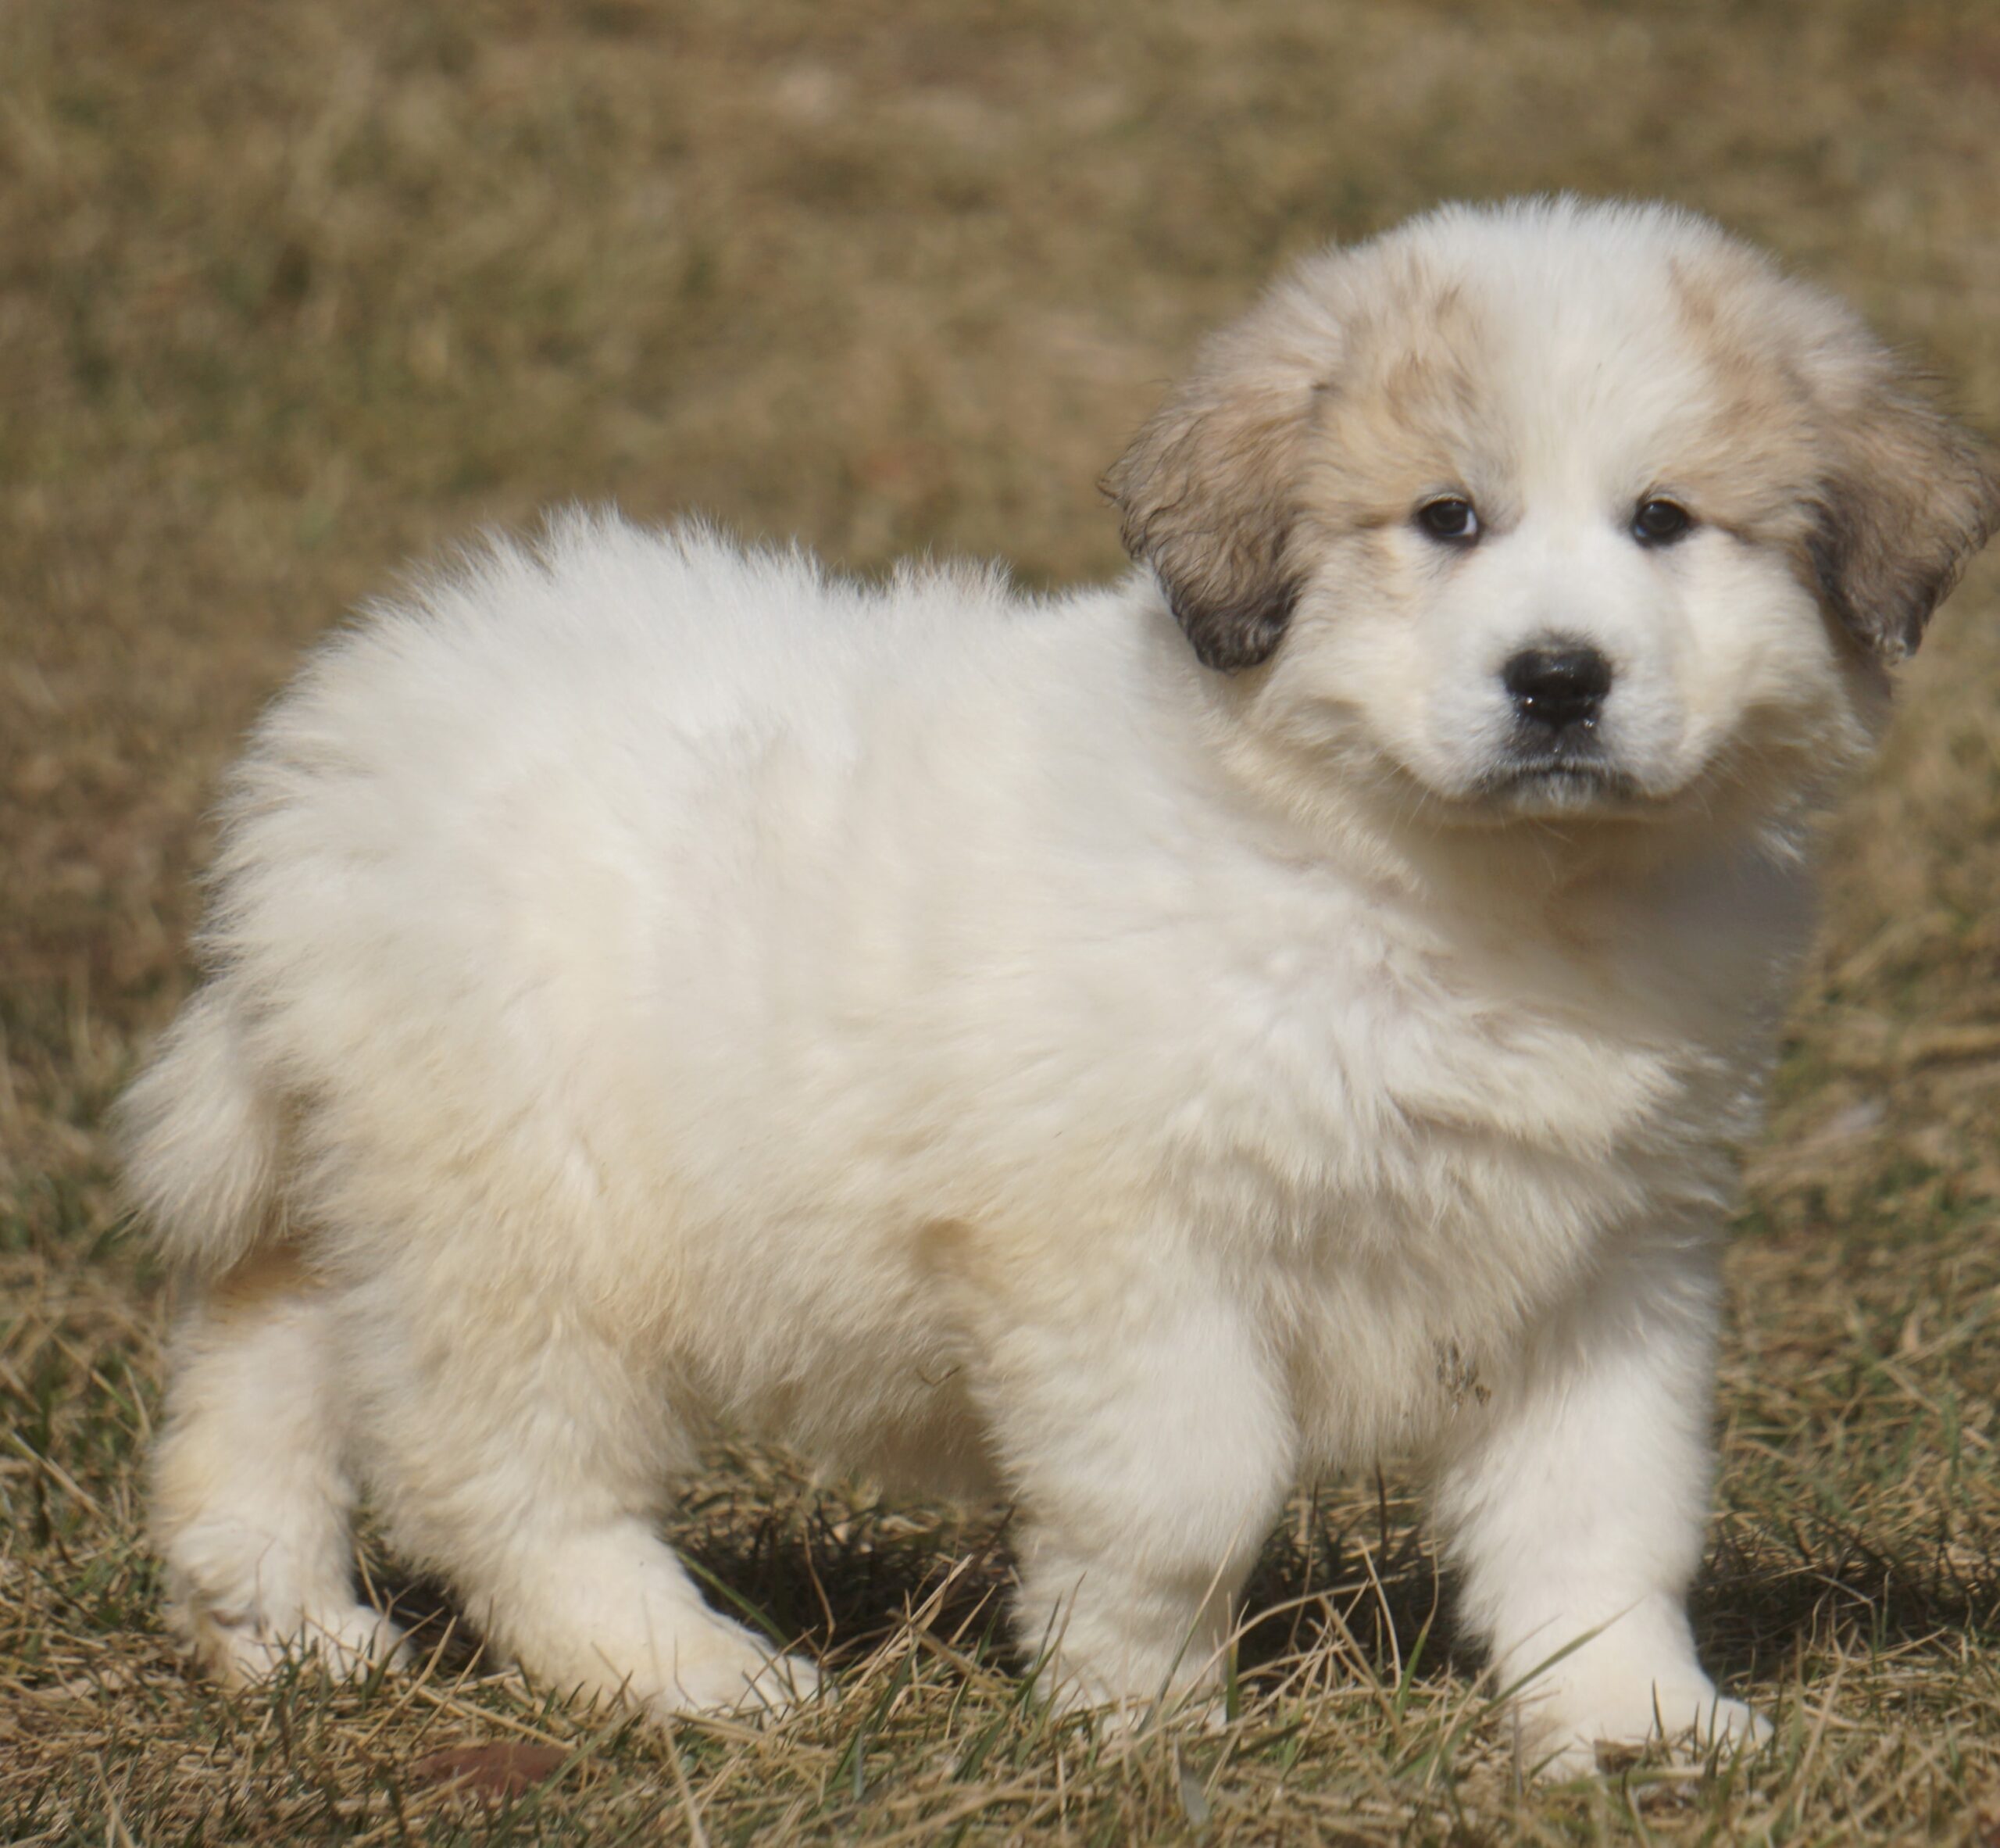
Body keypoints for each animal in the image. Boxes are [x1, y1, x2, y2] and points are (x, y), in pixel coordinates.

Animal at [121, 197, 1999, 1775]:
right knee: (500, 1477)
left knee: (265, 1367)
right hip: (531, 1216)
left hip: (378, 1191)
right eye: (1446, 520)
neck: (1465, 893)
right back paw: (692, 1674)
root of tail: (345, 745)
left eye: (1664, 523)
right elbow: (1184, 1497)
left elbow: (1603, 1512)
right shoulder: (1125, 1248)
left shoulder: (1606, 1262)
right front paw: (1144, 1725)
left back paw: (283, 1629)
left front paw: (1634, 1724)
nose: (1558, 680)